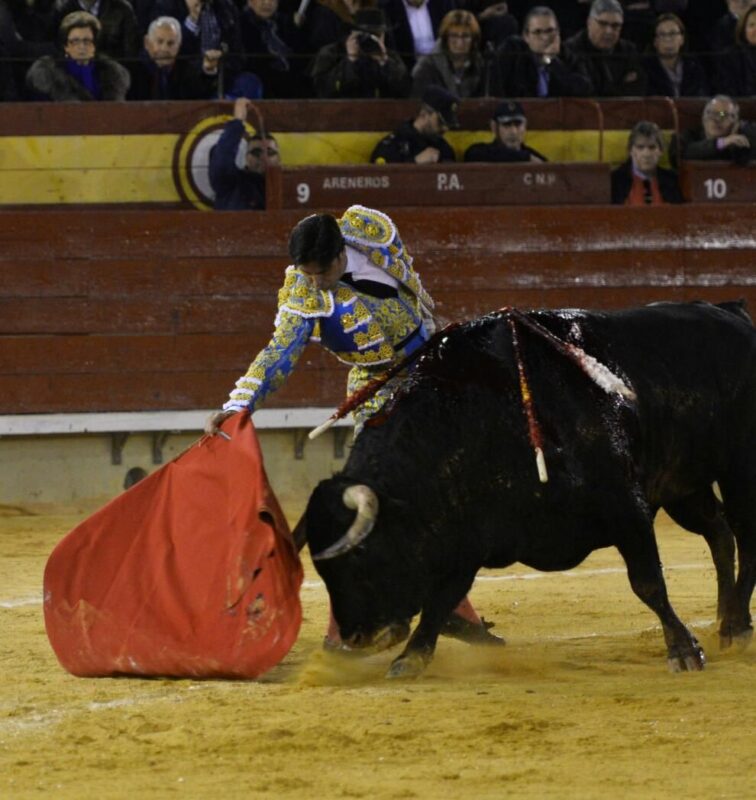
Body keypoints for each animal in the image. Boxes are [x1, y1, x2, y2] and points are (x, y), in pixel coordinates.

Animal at [302, 304, 756, 680]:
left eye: (363, 557)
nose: (356, 637)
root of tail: (733, 312)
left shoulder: (627, 507)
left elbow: (647, 582)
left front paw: (684, 651)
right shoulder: (468, 536)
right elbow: (442, 599)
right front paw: (410, 659)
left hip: (739, 470)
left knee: (744, 536)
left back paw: (736, 626)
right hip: (682, 486)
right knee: (719, 533)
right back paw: (726, 618)